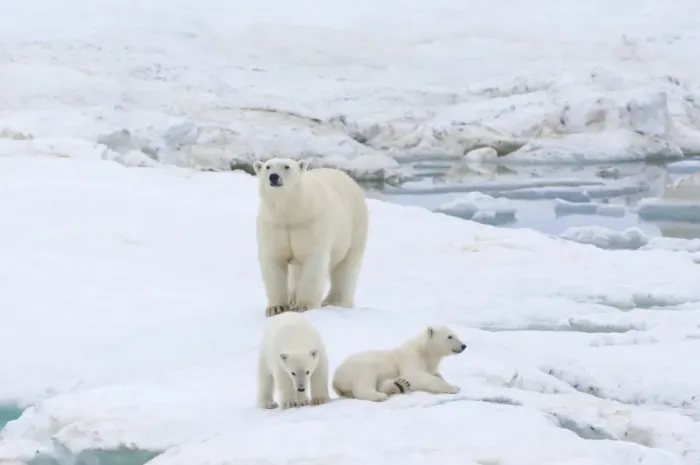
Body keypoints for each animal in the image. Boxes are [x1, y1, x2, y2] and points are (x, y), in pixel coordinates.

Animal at [253, 157, 369, 317]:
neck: (291, 212)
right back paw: (292, 298)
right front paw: (276, 308)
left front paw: (304, 306)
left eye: (286, 166)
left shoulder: (311, 224)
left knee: (346, 266)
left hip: (354, 226)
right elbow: (274, 261)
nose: (274, 177)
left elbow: (312, 261)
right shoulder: (274, 226)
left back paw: (335, 301)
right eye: (268, 167)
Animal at [332, 325, 466, 402]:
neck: (424, 351)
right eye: (450, 336)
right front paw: (454, 387)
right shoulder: (410, 357)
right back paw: (380, 396)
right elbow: (414, 375)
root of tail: (335, 380)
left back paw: (400, 385)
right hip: (360, 367)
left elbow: (435, 374)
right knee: (365, 381)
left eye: (455, 334)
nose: (463, 346)